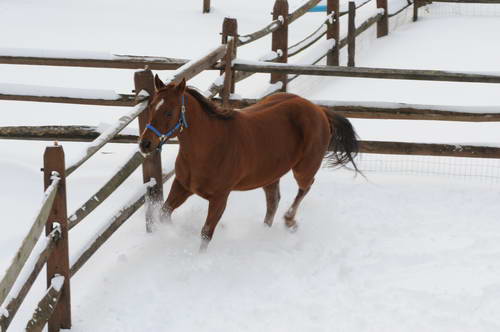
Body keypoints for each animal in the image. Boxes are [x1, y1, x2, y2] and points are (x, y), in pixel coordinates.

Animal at [138, 75, 360, 250]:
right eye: (151, 107)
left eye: (169, 111)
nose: (145, 144)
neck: (210, 146)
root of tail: (319, 109)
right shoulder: (183, 186)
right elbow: (164, 215)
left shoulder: (220, 197)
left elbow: (206, 233)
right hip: (270, 174)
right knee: (273, 201)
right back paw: (264, 231)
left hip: (304, 168)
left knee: (304, 188)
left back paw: (289, 221)